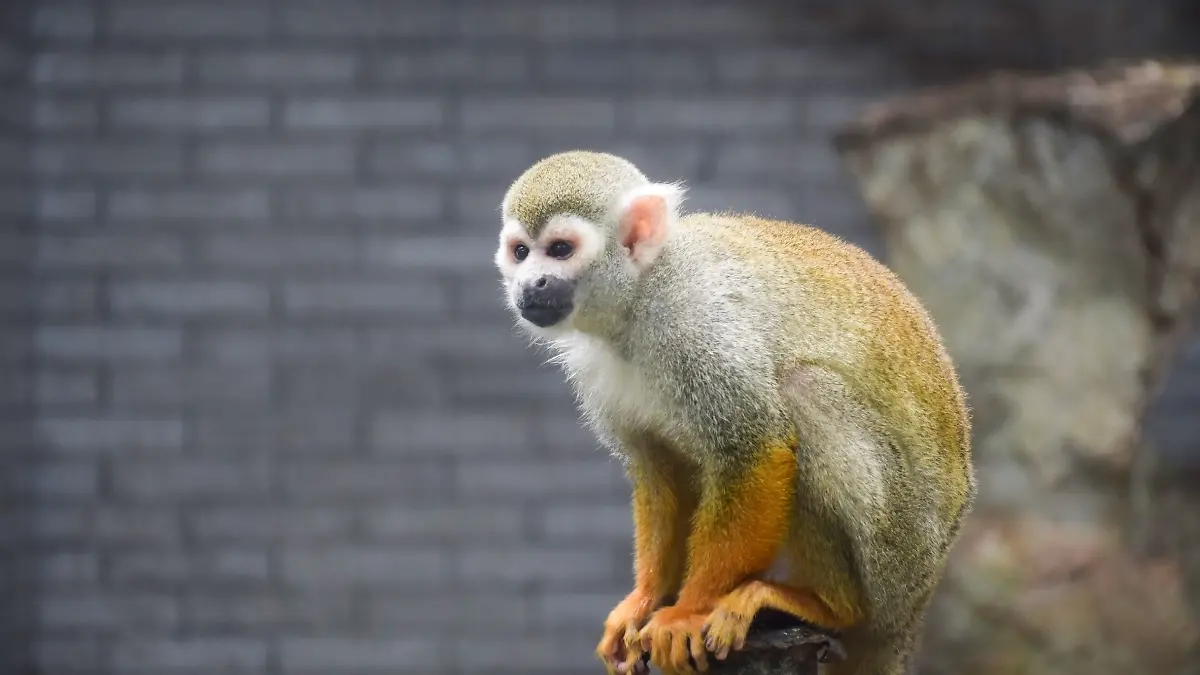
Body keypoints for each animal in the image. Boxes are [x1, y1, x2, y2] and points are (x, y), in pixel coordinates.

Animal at [493, 151, 975, 675]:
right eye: (521, 252)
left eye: (560, 249)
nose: (531, 283)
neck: (639, 297)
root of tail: (913, 612)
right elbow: (657, 466)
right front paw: (645, 600)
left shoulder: (696, 322)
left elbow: (755, 448)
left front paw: (686, 612)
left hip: (897, 557)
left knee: (805, 391)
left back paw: (822, 605)